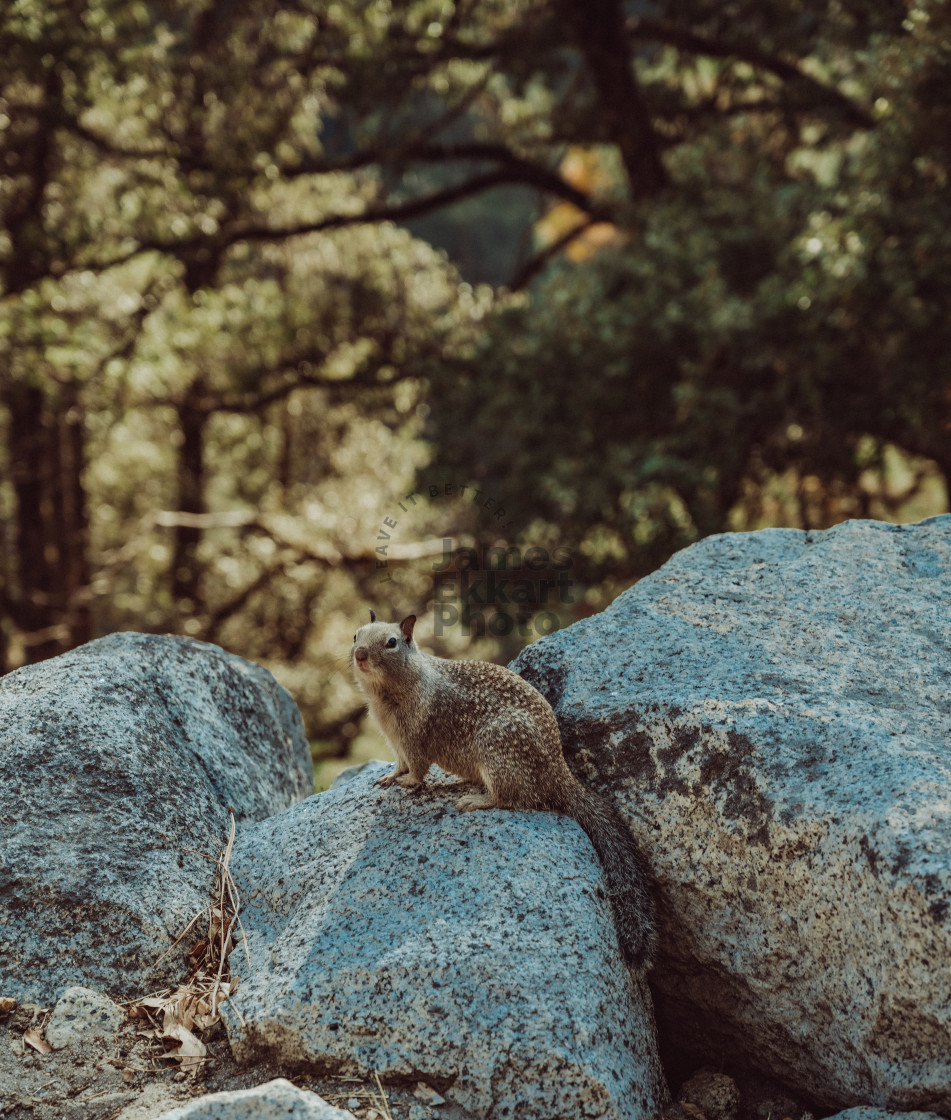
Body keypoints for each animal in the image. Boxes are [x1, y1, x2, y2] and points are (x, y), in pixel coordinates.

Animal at [349, 613, 654, 972]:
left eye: (392, 642)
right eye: (356, 635)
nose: (360, 655)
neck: (390, 690)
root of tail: (558, 771)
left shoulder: (415, 737)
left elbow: (419, 769)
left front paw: (409, 783)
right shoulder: (395, 741)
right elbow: (399, 764)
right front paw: (389, 777)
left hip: (497, 753)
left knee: (511, 798)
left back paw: (476, 799)